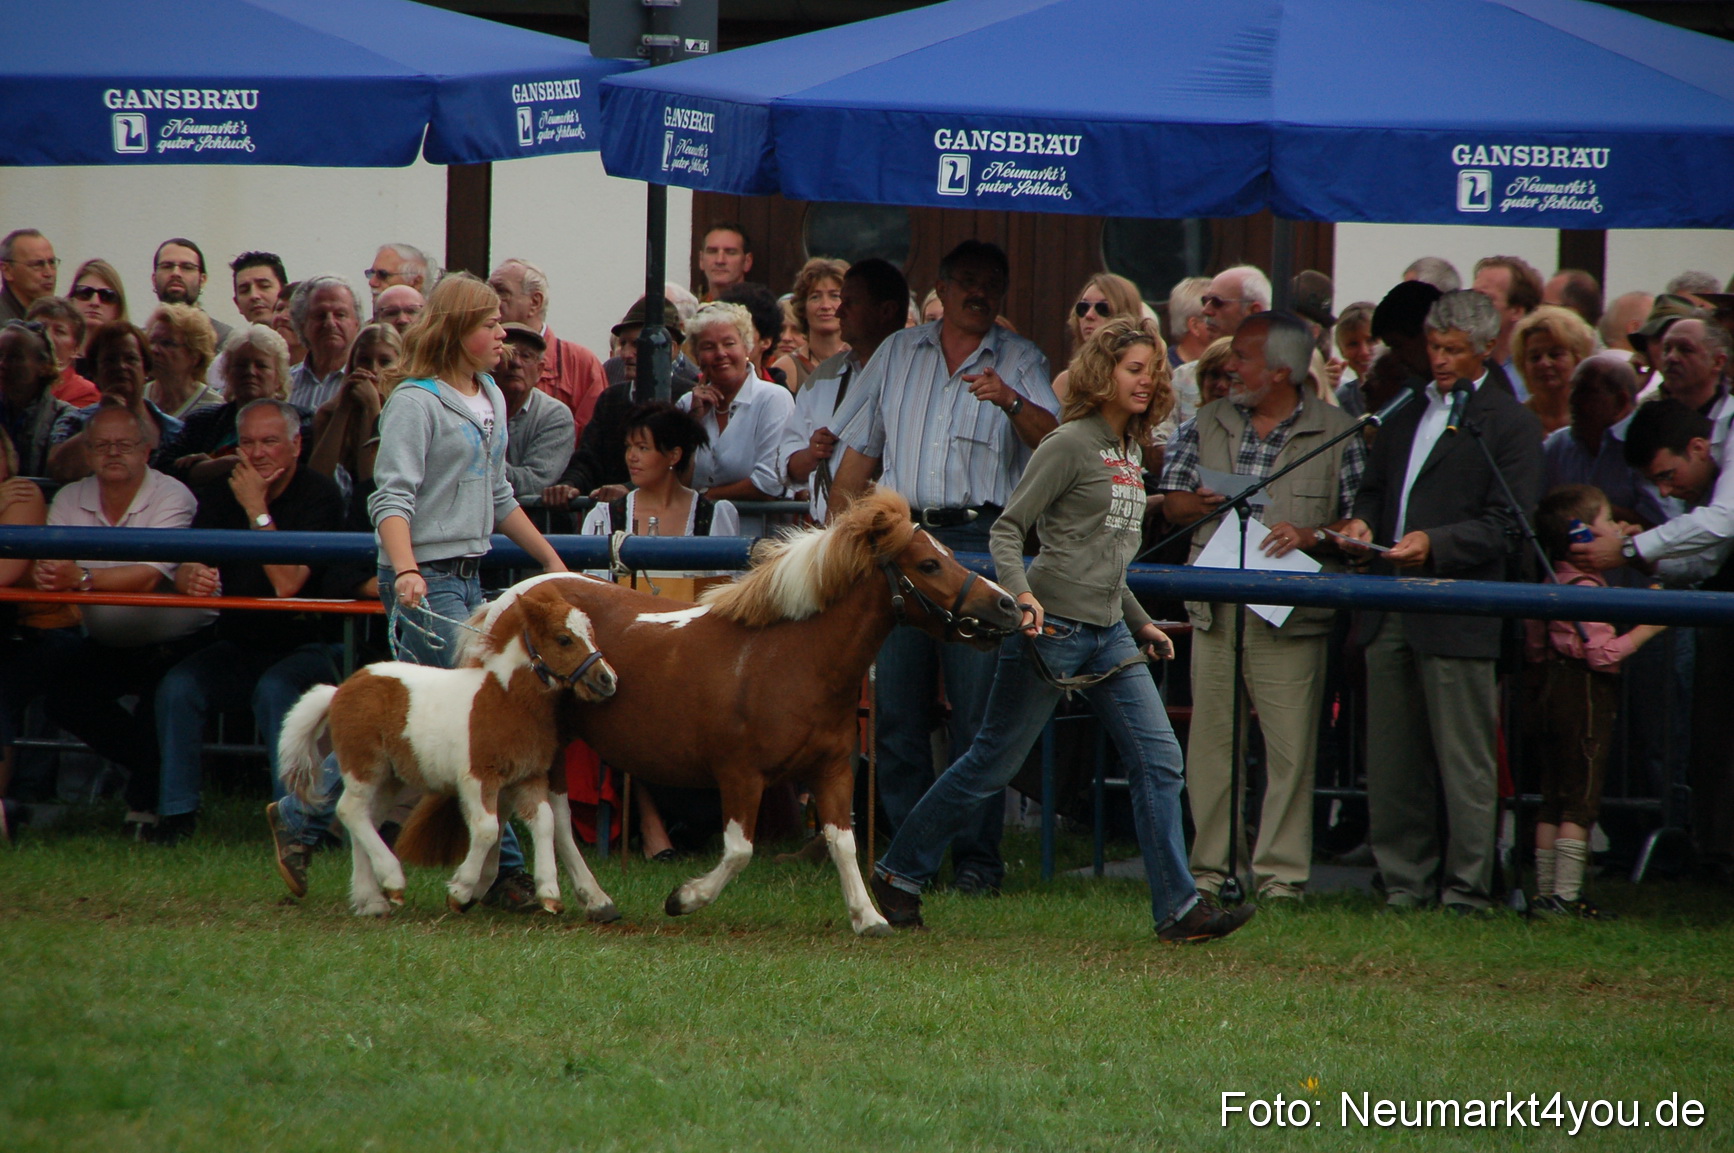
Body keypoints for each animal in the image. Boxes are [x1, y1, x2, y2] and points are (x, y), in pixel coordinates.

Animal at [278, 579, 620, 917]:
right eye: (564, 639)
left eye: (591, 634)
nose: (607, 679)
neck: (506, 699)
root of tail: (340, 690)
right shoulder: (478, 777)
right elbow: (487, 829)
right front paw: (460, 889)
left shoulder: (529, 778)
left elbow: (546, 823)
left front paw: (549, 892)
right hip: (364, 766)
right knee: (350, 810)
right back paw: (392, 879)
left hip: (390, 778)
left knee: (366, 819)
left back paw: (371, 900)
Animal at [400, 488, 1025, 936]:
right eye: (928, 564)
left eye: (949, 554)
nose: (1008, 607)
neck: (791, 658)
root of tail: (507, 603)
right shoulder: (740, 775)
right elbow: (740, 851)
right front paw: (684, 898)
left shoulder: (833, 770)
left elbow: (842, 841)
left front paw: (869, 917)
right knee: (545, 811)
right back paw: (571, 897)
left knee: (524, 805)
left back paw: (506, 890)